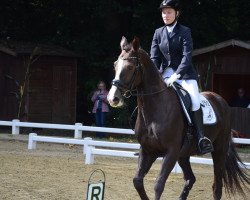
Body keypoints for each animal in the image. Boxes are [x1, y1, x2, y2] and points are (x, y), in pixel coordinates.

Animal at [107, 36, 250, 199]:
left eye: (130, 67)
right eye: (115, 65)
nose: (113, 98)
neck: (155, 108)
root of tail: (220, 100)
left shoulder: (171, 151)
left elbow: (158, 185)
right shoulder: (147, 150)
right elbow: (137, 181)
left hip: (219, 149)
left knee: (217, 186)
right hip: (184, 154)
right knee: (190, 178)